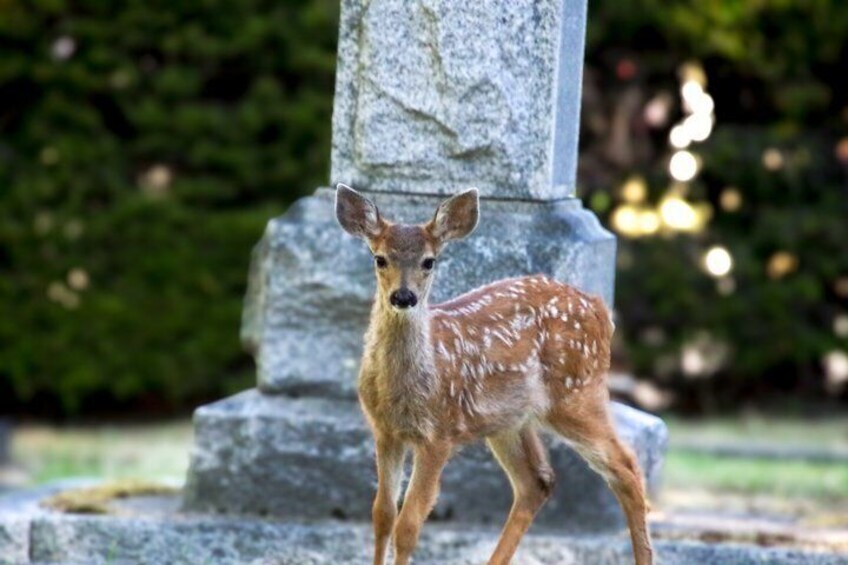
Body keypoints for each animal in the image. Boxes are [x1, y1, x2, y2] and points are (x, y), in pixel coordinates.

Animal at [335, 183, 653, 565]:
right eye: (380, 258)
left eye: (429, 261)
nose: (404, 296)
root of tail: (601, 309)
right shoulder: (385, 431)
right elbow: (382, 515)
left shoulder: (438, 434)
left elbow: (408, 524)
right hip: (509, 421)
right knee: (537, 483)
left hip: (577, 394)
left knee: (626, 468)